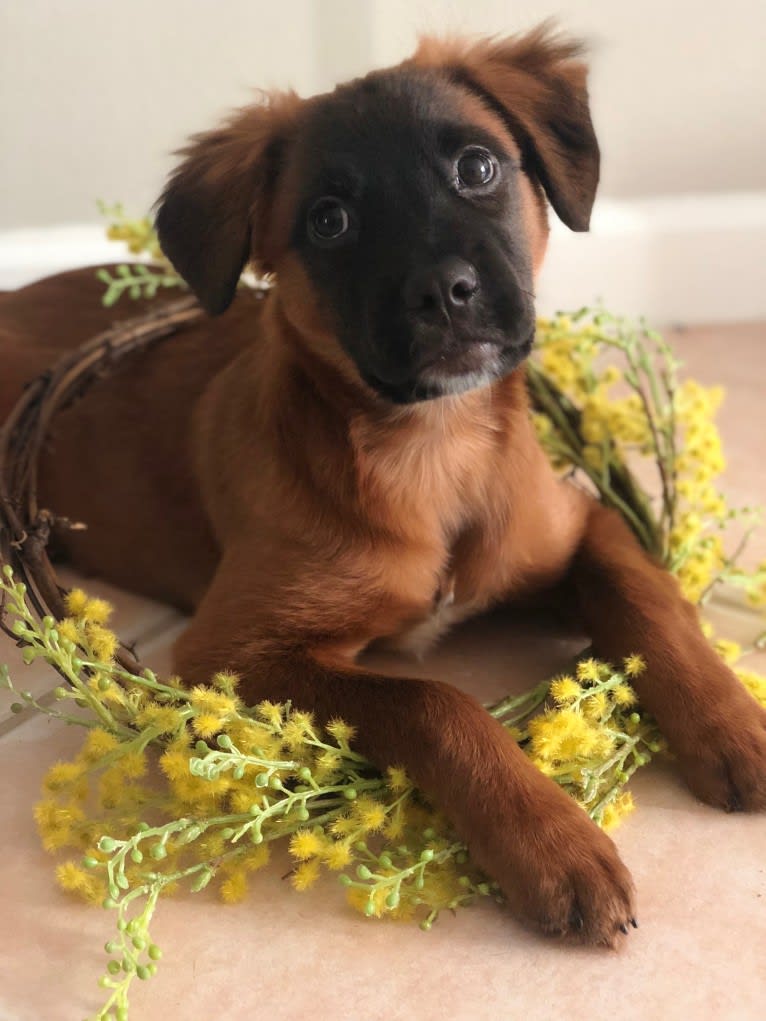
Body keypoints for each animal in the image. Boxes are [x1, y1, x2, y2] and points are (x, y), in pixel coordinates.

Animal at [1, 25, 766, 947]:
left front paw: (732, 722)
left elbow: (653, 605)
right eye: (329, 221)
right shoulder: (233, 653)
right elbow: (435, 702)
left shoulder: (583, 522)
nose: (444, 292)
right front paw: (552, 840)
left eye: (478, 167)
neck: (436, 449)